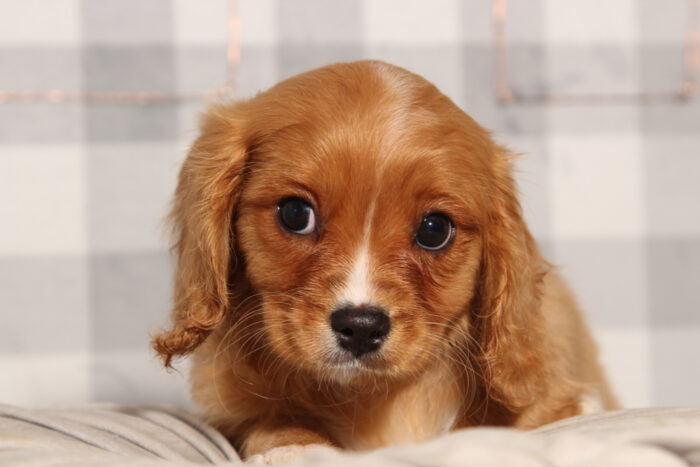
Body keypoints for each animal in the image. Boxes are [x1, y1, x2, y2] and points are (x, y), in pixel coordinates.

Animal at [154, 60, 616, 462]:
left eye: (434, 229)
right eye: (295, 213)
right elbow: (269, 420)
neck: (373, 397)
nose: (361, 327)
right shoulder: (229, 408)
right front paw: (295, 447)